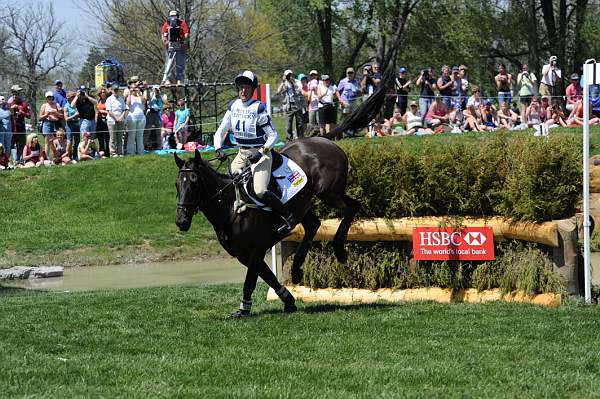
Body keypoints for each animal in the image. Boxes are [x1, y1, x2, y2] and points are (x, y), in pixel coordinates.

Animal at [176, 138, 358, 316]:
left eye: (194, 183)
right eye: (177, 184)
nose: (181, 221)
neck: (230, 207)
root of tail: (331, 144)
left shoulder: (257, 249)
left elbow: (250, 281)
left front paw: (244, 309)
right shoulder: (243, 254)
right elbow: (269, 277)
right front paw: (289, 301)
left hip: (328, 192)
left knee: (352, 208)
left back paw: (339, 250)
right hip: (304, 204)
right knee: (314, 224)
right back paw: (296, 269)